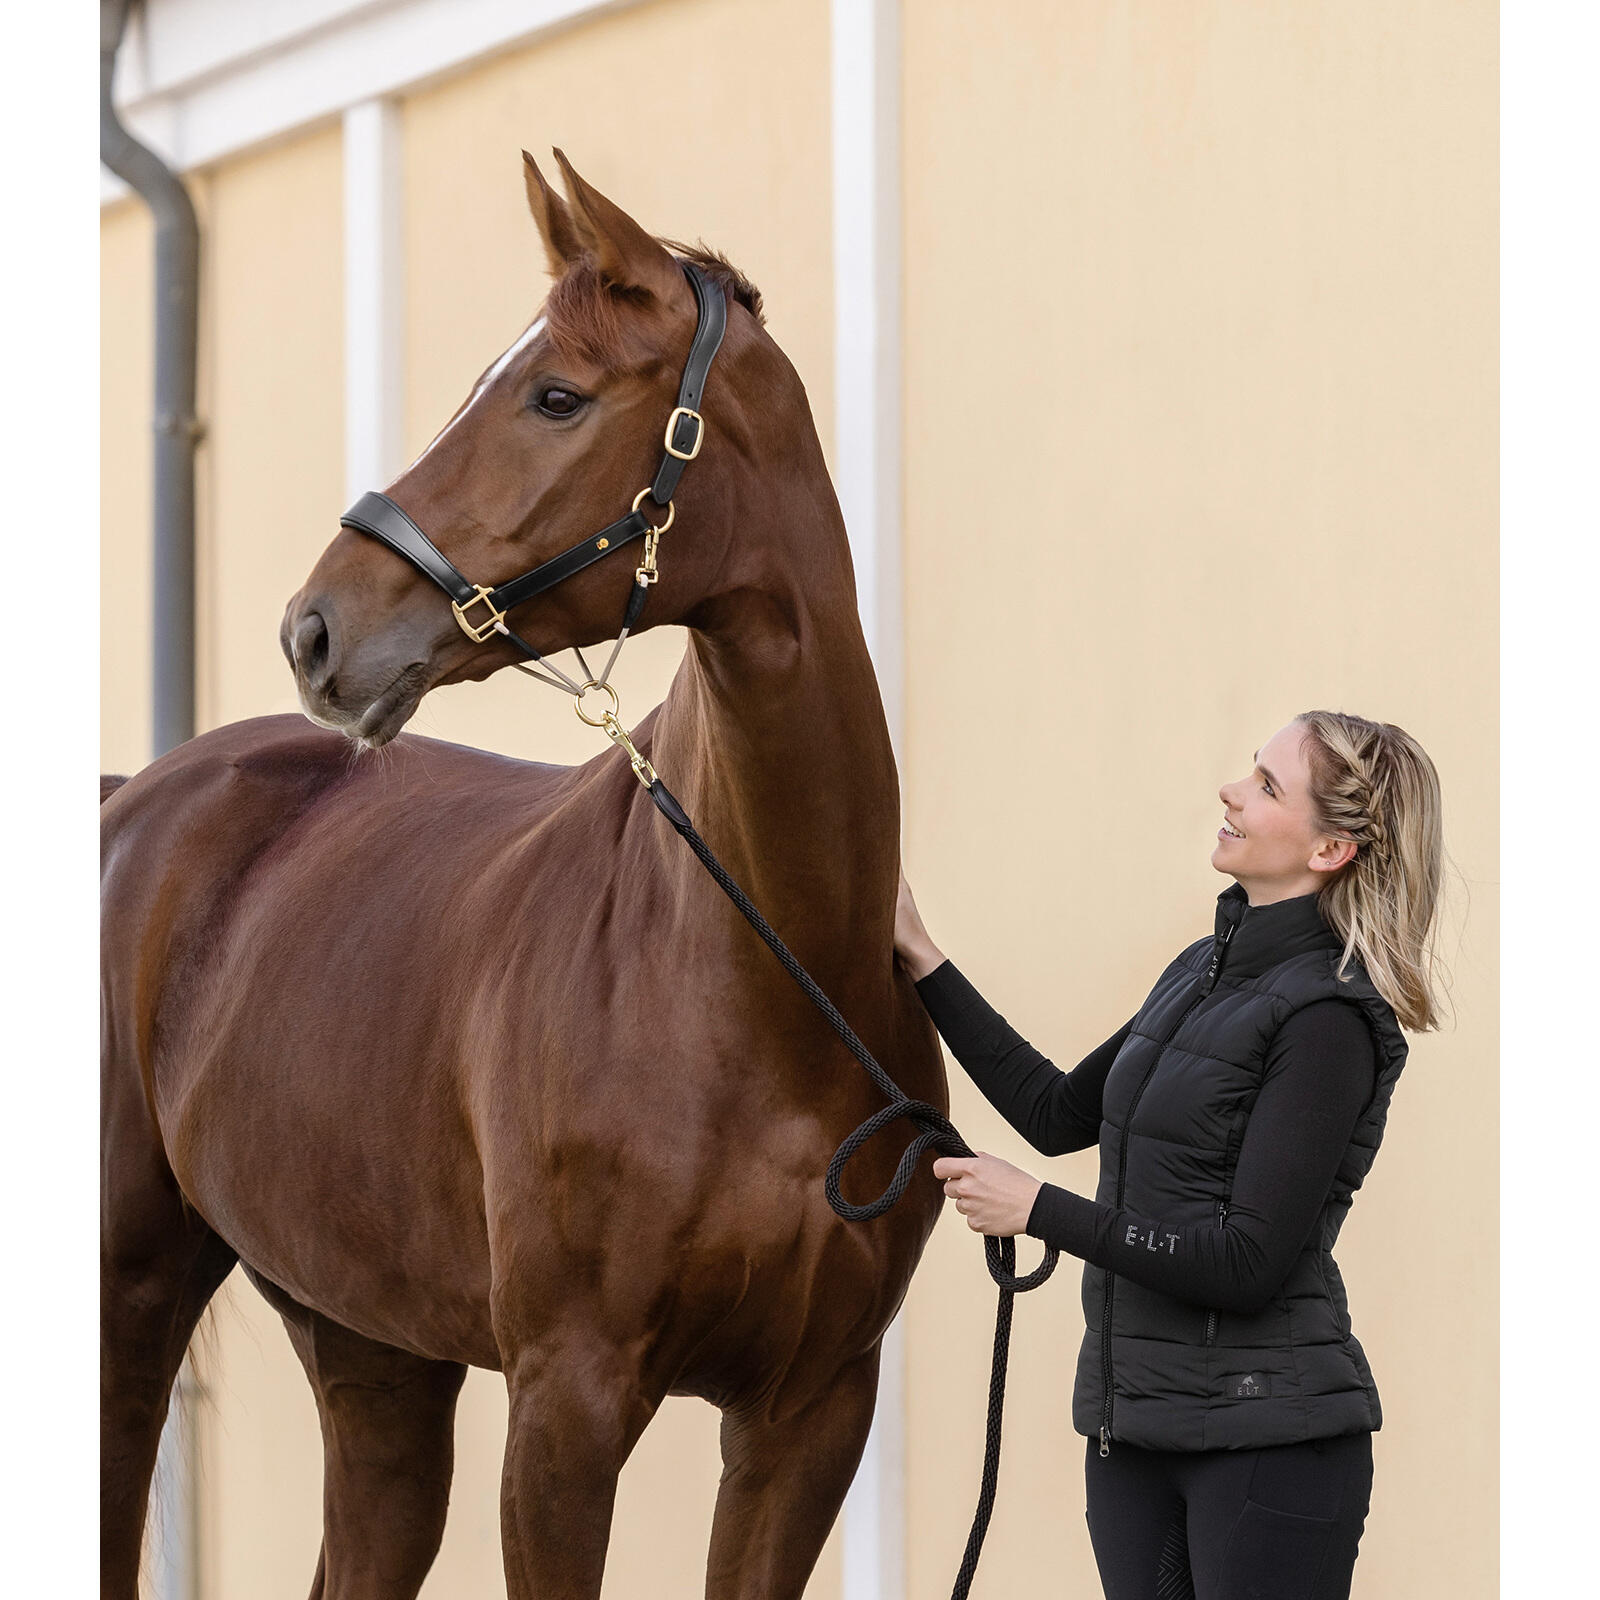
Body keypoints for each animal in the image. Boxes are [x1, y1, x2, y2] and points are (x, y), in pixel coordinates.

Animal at [101, 148, 948, 1599]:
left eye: (556, 395)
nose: (314, 629)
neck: (759, 978)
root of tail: (128, 801)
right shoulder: (567, 1400)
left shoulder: (813, 1410)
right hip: (127, 1305)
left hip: (372, 1353)